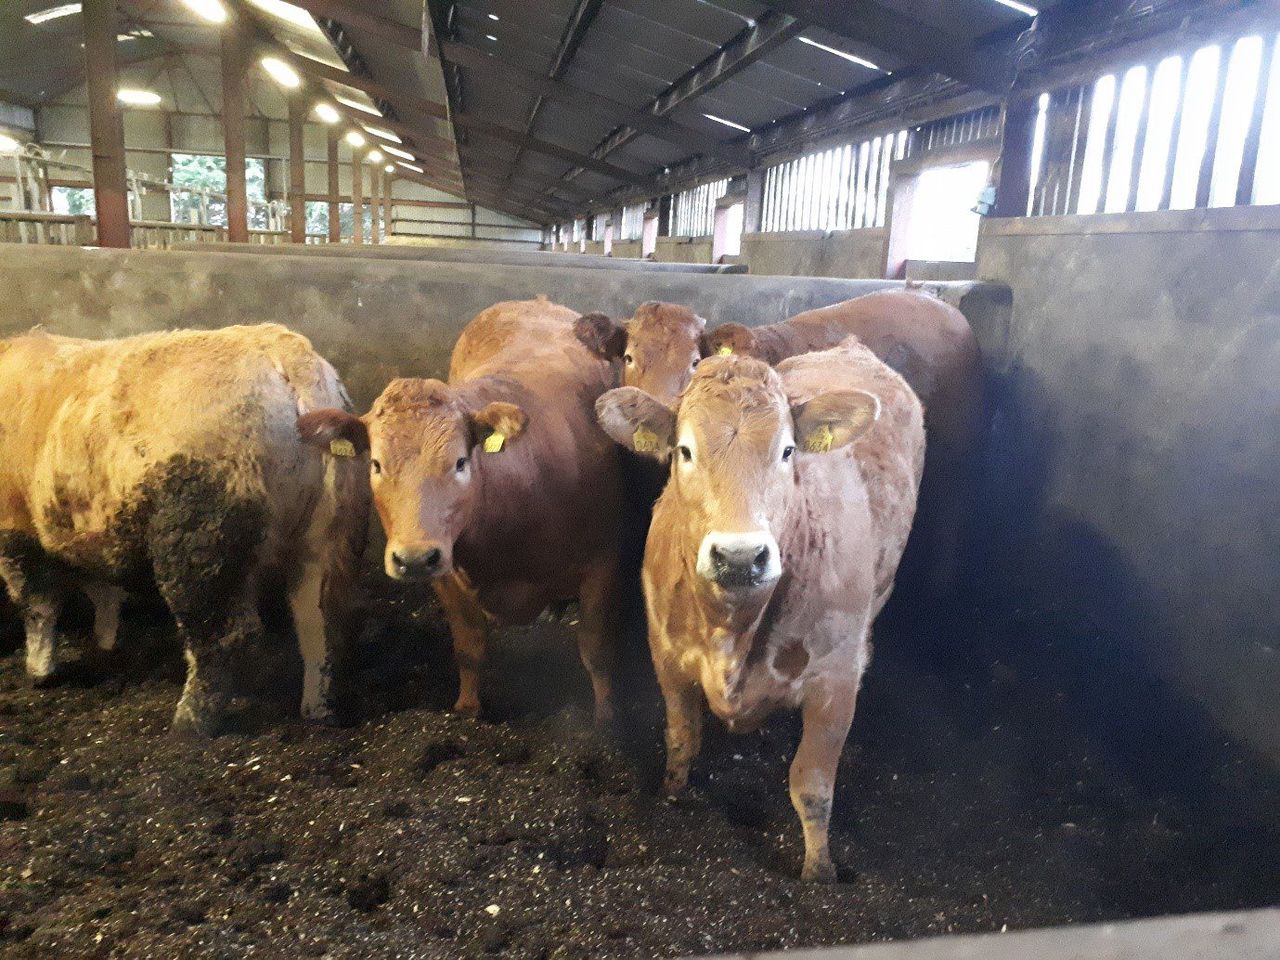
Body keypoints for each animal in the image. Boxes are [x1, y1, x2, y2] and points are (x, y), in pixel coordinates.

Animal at [0, 324, 369, 735]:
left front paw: (40, 672)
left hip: (198, 543)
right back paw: (317, 710)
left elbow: (38, 603)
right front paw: (106, 642)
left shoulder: (15, 531)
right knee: (320, 623)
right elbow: (102, 590)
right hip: (323, 538)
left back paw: (188, 725)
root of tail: (285, 350)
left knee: (223, 636)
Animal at [298, 297, 624, 725]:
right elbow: (469, 647)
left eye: (460, 462)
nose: (413, 559)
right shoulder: (447, 572)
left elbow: (596, 648)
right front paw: (467, 711)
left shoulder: (603, 564)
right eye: (376, 465)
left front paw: (606, 718)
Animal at [595, 342, 925, 881]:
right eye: (684, 451)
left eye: (787, 451)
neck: (732, 627)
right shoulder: (666, 654)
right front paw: (671, 799)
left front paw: (819, 873)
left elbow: (812, 785)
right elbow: (681, 739)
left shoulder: (835, 680)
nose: (739, 556)